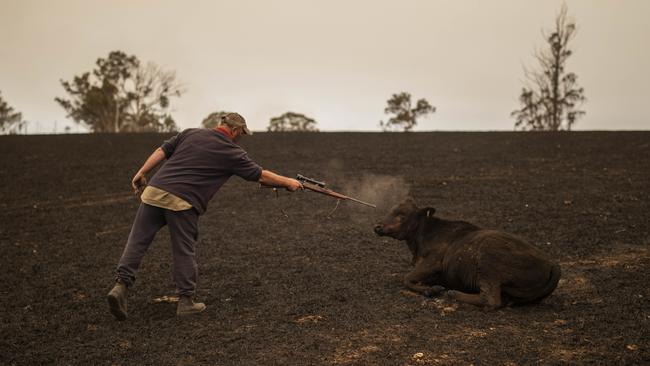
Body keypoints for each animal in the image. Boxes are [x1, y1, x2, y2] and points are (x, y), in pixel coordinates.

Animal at [372, 199, 560, 308]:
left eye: (402, 214)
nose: (378, 226)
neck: (425, 234)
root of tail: (552, 263)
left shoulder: (432, 263)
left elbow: (406, 279)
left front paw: (432, 290)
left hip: (488, 264)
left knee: (490, 300)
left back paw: (453, 293)